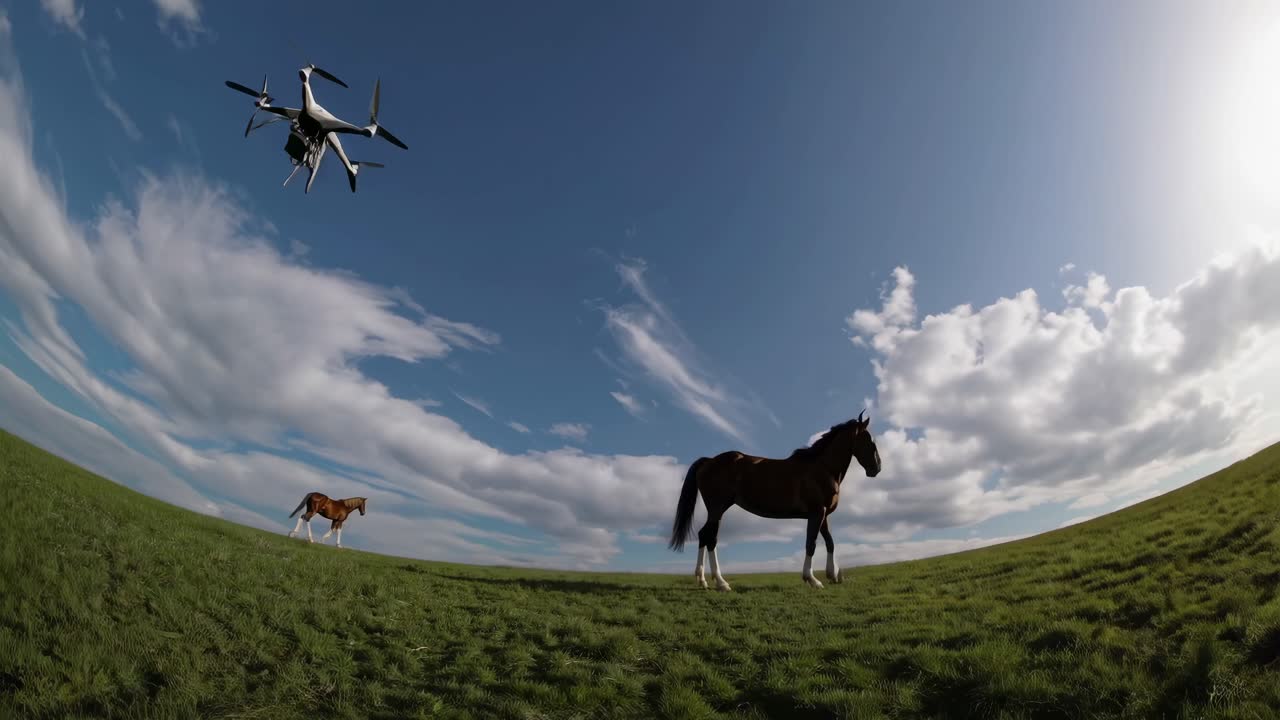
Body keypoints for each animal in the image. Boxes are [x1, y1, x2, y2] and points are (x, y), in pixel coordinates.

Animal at [668, 411, 881, 591]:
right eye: (869, 440)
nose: (876, 468)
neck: (822, 468)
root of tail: (709, 461)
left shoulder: (823, 515)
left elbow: (830, 543)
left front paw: (833, 575)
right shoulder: (816, 513)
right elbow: (811, 543)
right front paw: (812, 579)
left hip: (716, 511)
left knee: (704, 536)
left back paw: (702, 580)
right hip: (717, 509)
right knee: (710, 539)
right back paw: (721, 583)